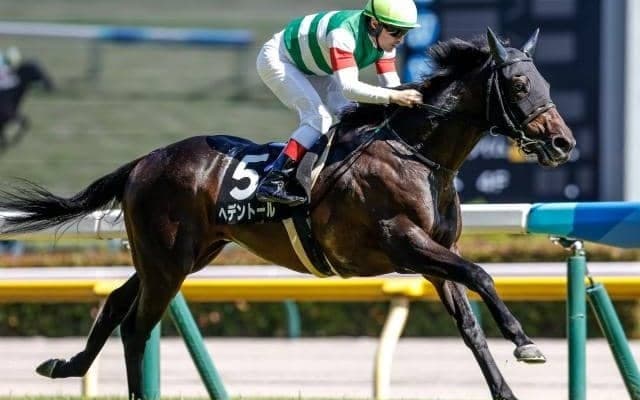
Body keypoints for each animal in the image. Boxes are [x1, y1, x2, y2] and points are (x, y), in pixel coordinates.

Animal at [0, 29, 574, 400]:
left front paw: (507, 385)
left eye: (547, 81)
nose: (562, 142)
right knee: (137, 325)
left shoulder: (433, 256)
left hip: (181, 256)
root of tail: (144, 161)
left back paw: (65, 363)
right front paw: (525, 343)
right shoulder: (402, 242)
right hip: (167, 260)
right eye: (519, 86)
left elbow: (470, 325)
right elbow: (482, 273)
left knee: (119, 304)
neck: (417, 154)